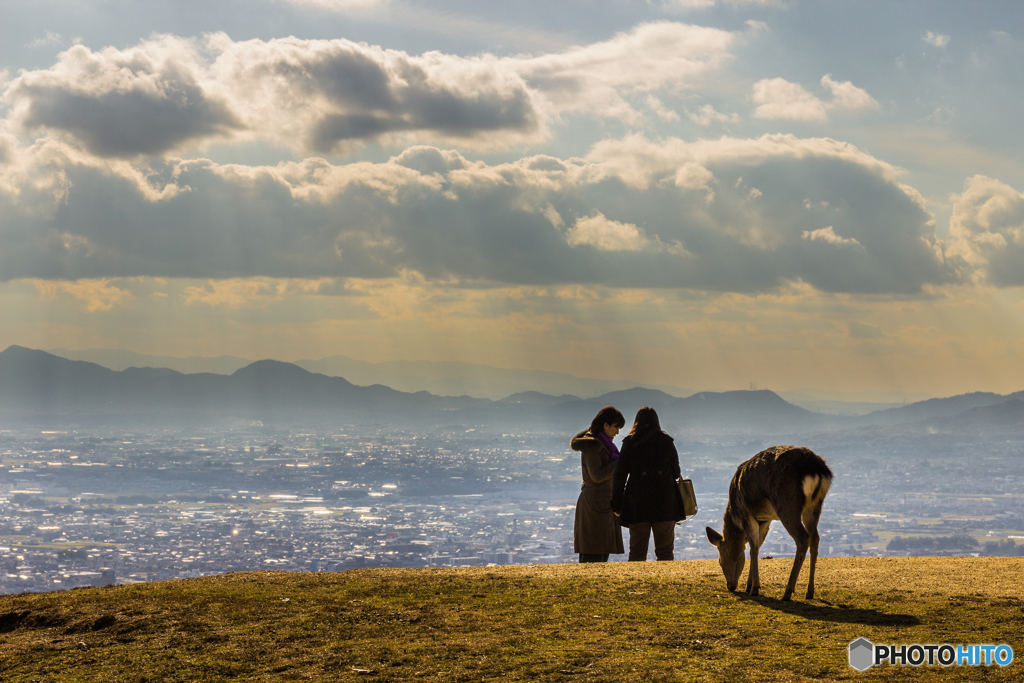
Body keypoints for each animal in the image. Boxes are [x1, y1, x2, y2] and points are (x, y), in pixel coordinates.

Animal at [704, 446, 831, 602]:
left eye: (720, 560)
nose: (730, 586)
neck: (734, 514)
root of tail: (817, 470)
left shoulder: (746, 513)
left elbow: (753, 547)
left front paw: (754, 588)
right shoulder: (765, 519)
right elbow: (757, 545)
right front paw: (749, 585)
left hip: (787, 504)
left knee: (803, 538)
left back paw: (787, 592)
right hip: (814, 506)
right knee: (815, 538)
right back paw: (810, 591)